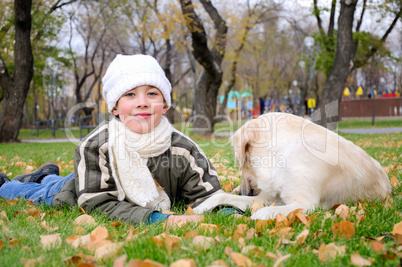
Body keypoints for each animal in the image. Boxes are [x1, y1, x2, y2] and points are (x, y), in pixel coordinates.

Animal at [193, 113, 392, 220]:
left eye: (240, 162)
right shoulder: (266, 196)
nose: (244, 192)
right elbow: (219, 197)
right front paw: (196, 209)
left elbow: (263, 212)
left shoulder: (306, 204)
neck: (282, 151)